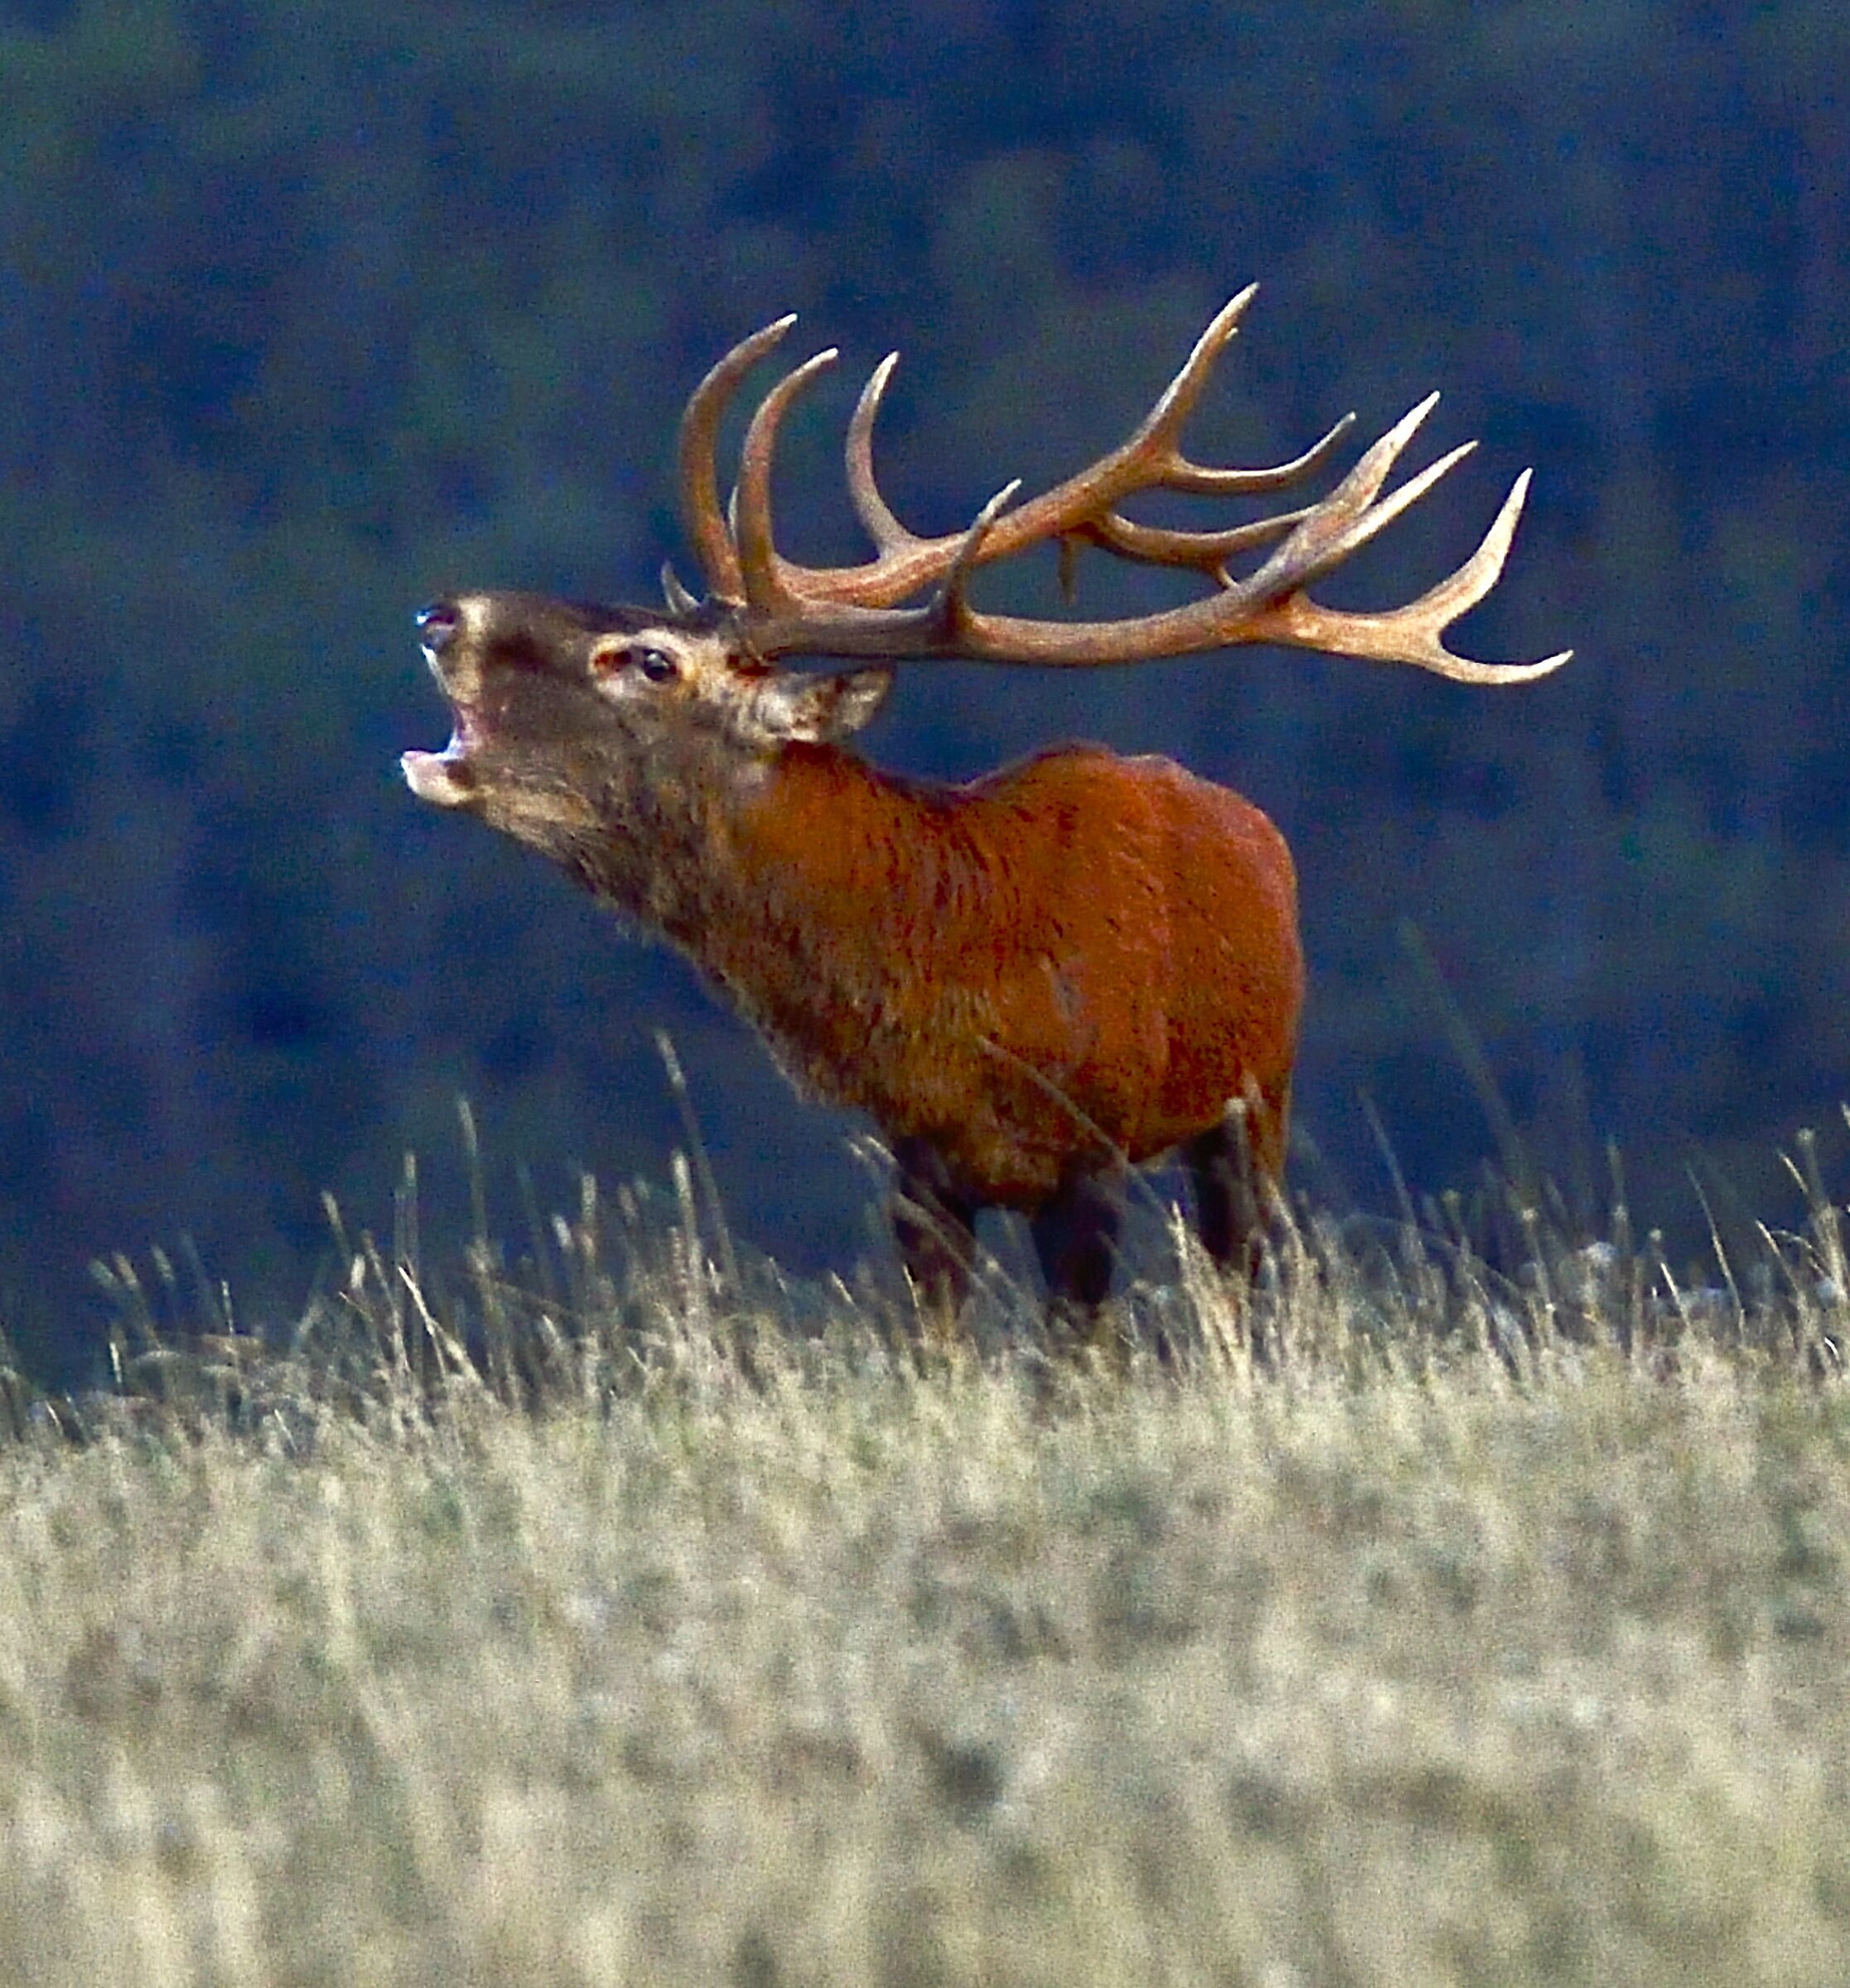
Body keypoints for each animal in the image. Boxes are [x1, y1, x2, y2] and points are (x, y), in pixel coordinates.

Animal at [402, 287, 1569, 1351]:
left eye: (651, 660)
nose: (441, 614)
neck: (957, 991)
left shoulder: (1092, 1150)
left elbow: (1080, 1360)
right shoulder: (919, 1168)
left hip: (1255, 1098)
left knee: (1245, 1286)